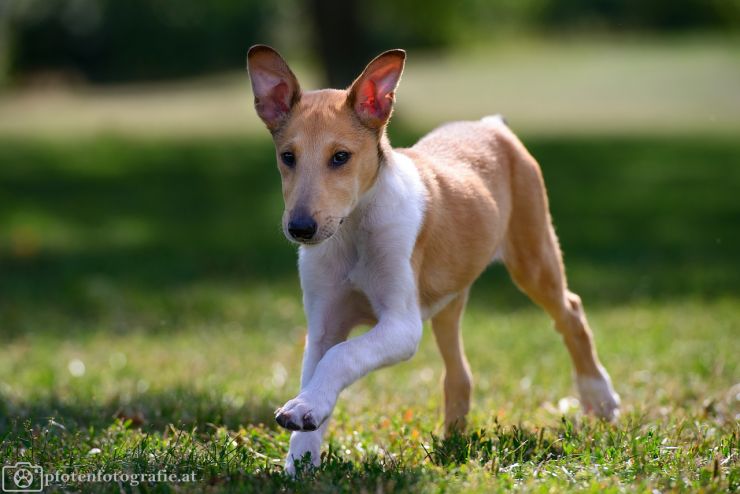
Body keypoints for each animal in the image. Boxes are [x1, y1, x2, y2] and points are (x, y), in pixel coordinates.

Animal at [247, 46, 620, 474]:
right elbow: (319, 368)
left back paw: (600, 399)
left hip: (534, 254)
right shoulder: (324, 323)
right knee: (460, 371)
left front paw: (304, 414)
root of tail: (491, 126)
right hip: (449, 296)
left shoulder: (401, 325)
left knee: (570, 312)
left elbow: (343, 355)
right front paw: (300, 456)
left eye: (340, 156)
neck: (353, 229)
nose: (301, 229)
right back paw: (453, 442)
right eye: (287, 157)